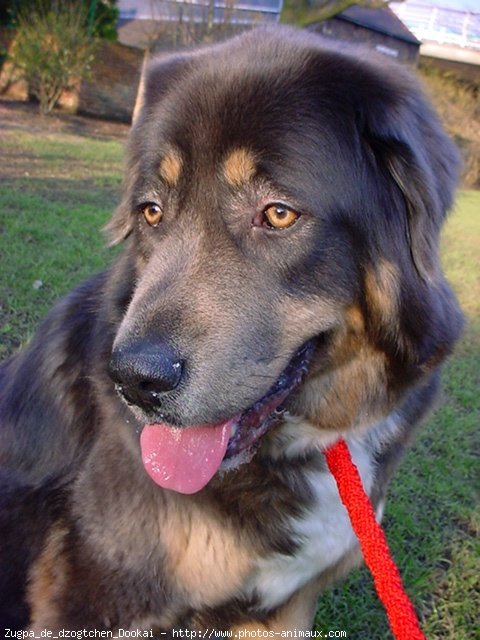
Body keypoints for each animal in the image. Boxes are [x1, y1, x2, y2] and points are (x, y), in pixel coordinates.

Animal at [0, 26, 464, 636]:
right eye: (151, 212)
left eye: (279, 214)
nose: (134, 380)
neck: (312, 440)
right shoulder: (95, 599)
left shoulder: (285, 609)